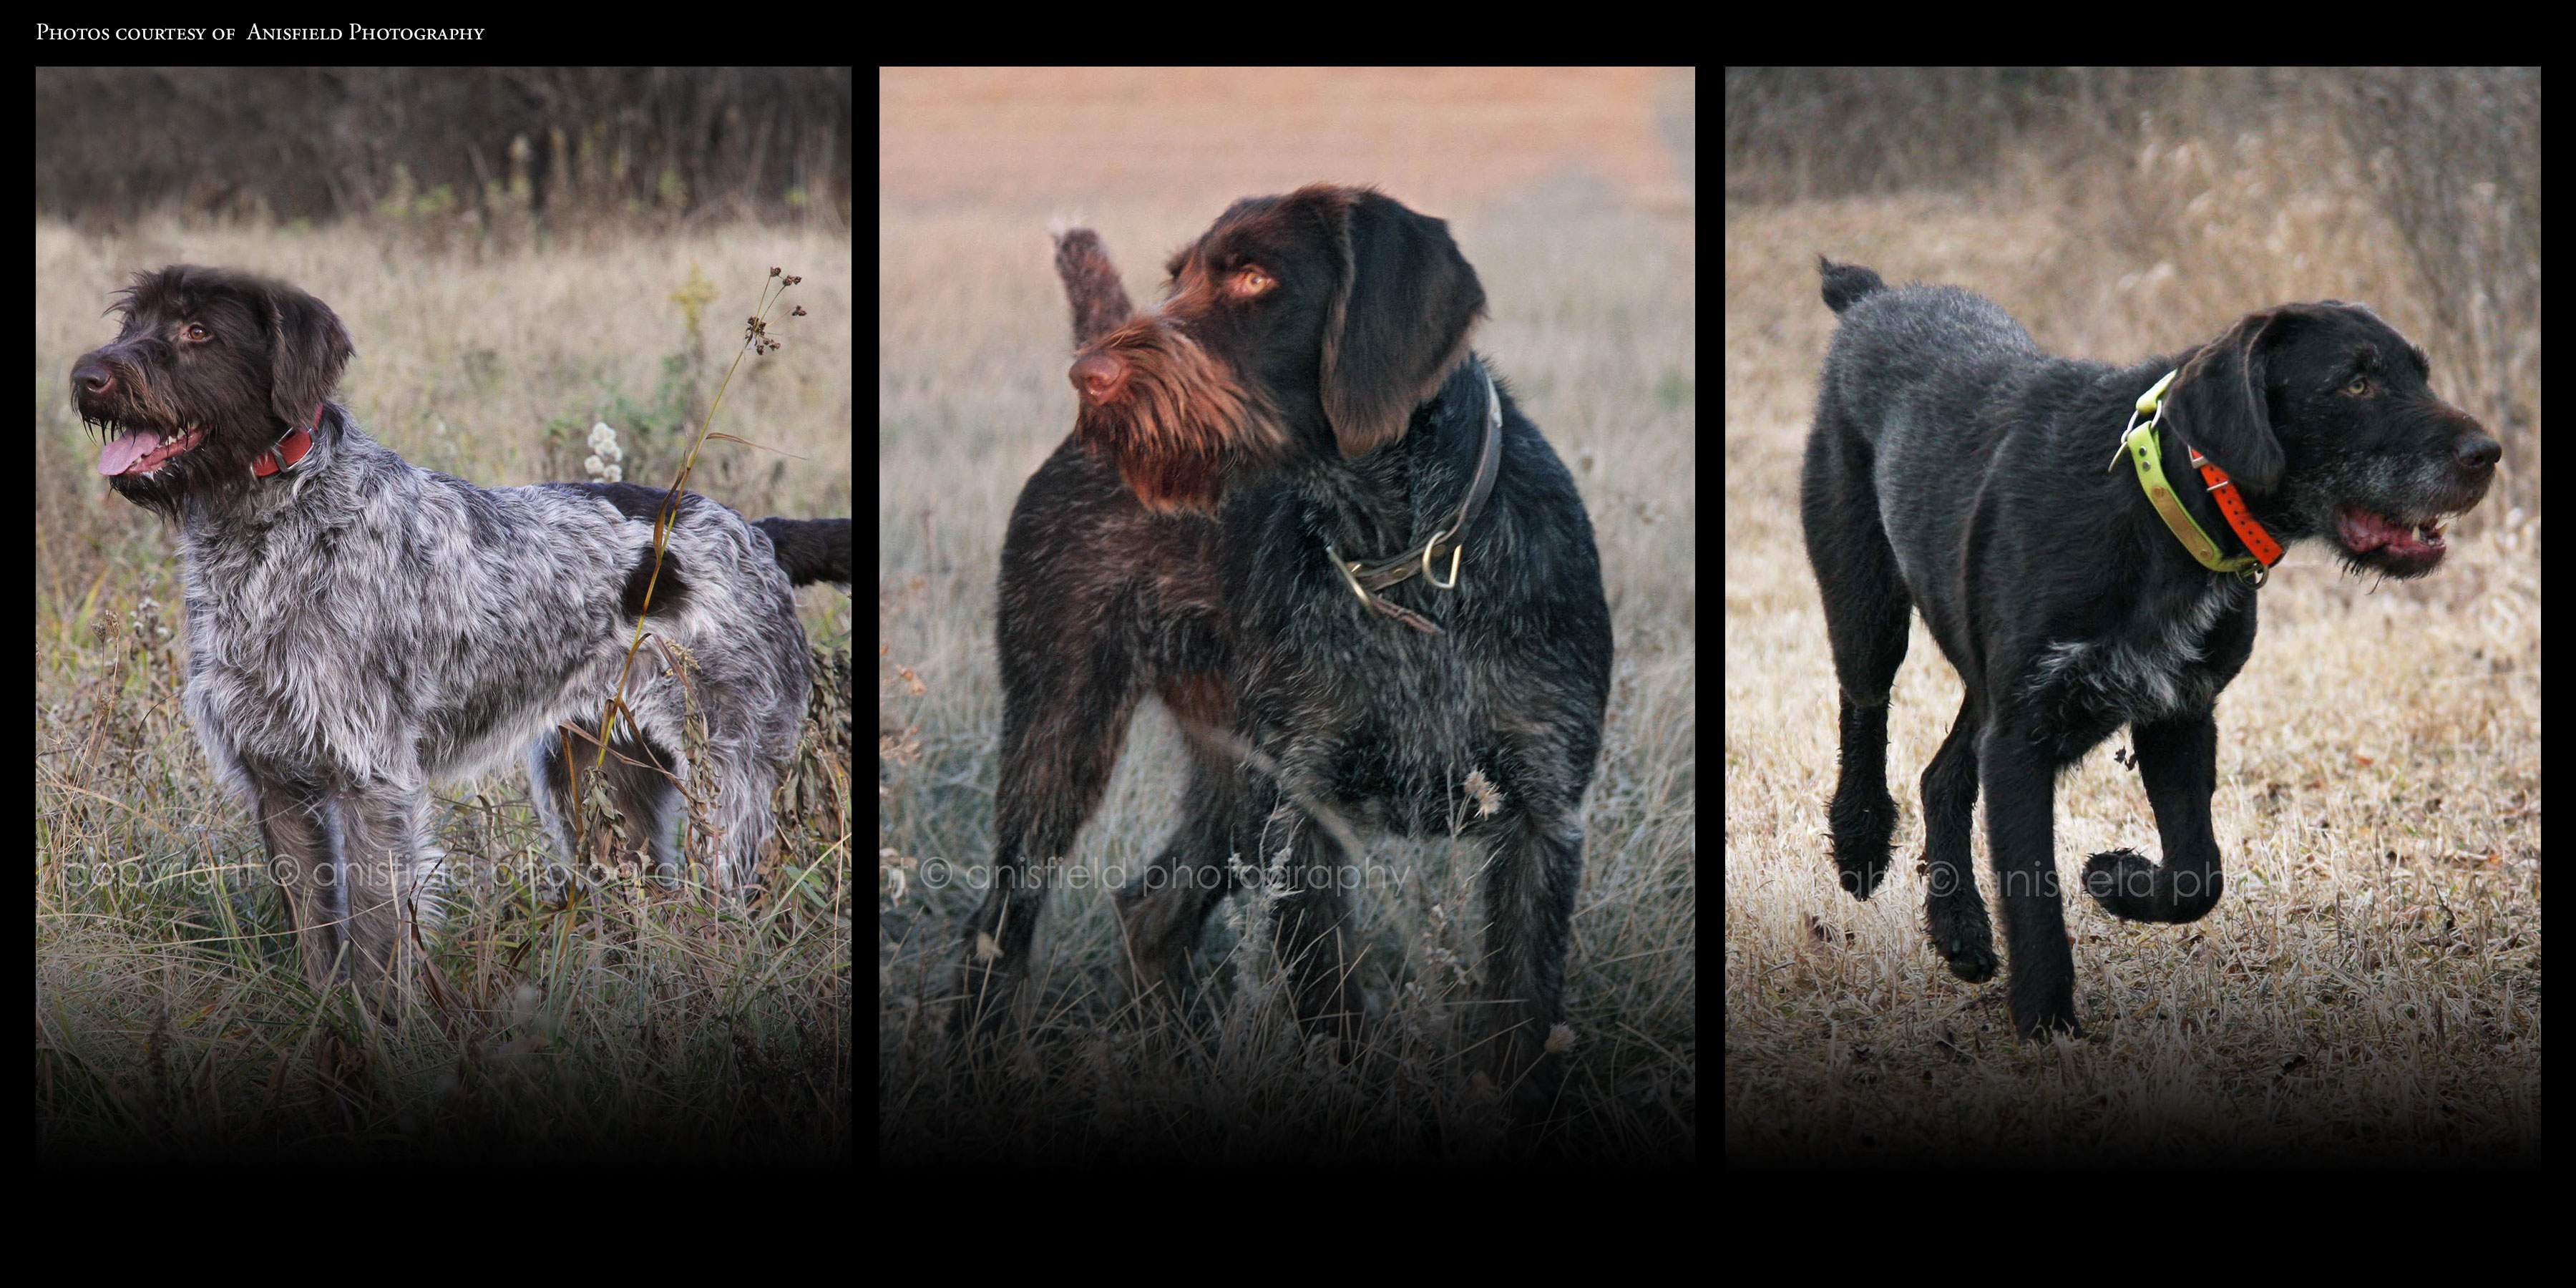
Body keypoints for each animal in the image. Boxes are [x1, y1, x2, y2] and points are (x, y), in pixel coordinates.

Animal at [1813, 258, 2493, 1035]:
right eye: (2357, 382)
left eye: (2421, 374)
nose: (2488, 454)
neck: (2163, 506)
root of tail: (1873, 298)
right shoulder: (2022, 736)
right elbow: (2035, 898)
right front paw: (2047, 1026)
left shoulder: (2177, 713)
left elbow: (2199, 875)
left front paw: (2118, 879)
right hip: (1867, 608)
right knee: (1864, 705)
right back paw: (1861, 841)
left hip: (1985, 680)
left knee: (1941, 774)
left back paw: (1959, 927)